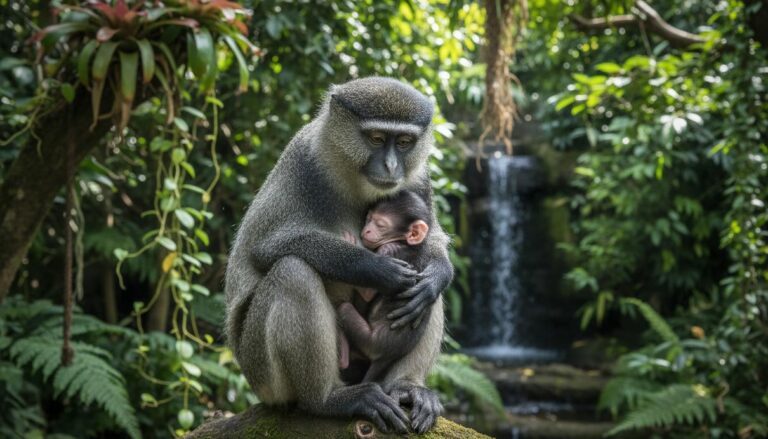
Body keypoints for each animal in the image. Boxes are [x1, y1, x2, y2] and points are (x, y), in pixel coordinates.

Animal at [336, 190, 433, 384]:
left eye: (380, 225)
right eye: (369, 218)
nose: (366, 230)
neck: (404, 243)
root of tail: (387, 356)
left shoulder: (388, 250)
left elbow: (368, 293)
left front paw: (350, 243)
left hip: (371, 342)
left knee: (345, 309)